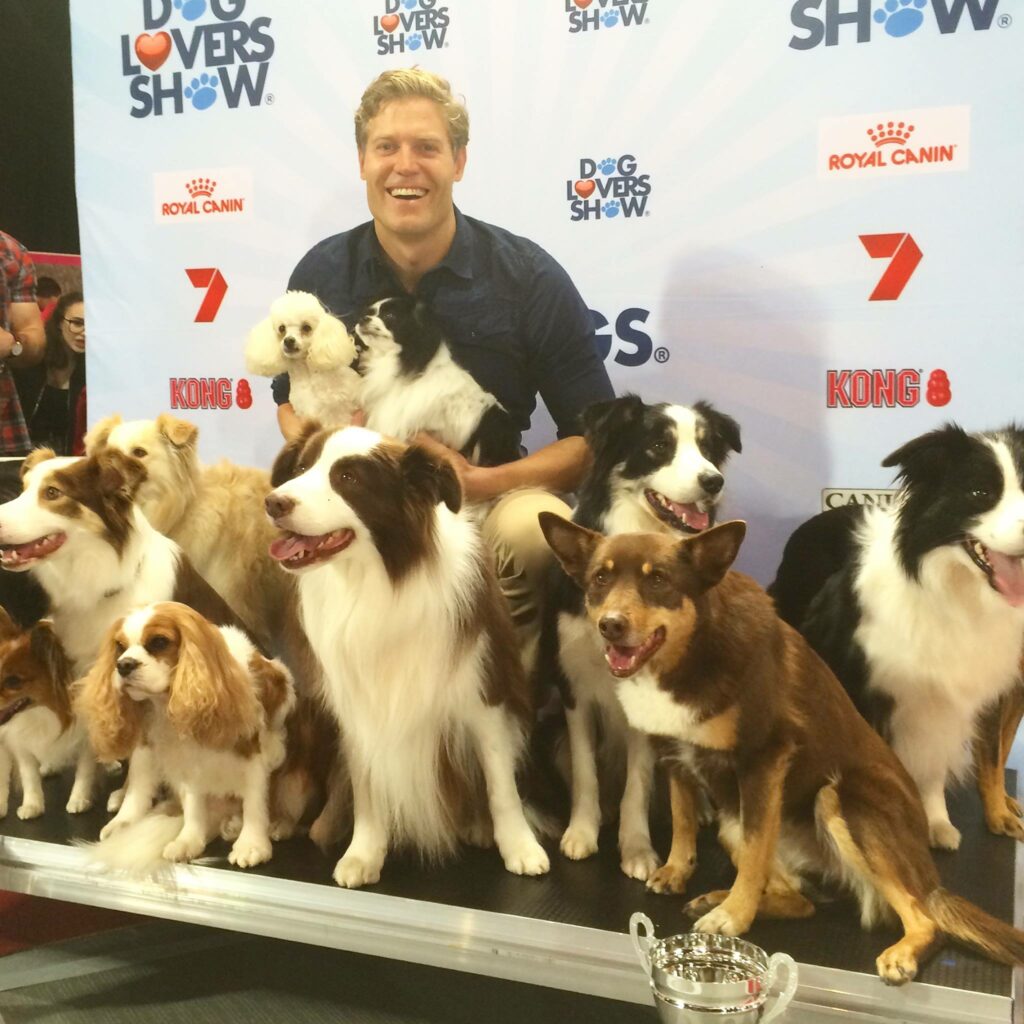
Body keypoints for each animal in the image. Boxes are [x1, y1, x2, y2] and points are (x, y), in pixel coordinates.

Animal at [532, 395, 741, 876]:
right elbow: (585, 771)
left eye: (708, 447)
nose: (713, 481)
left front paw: (637, 849)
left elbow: (639, 784)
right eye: (660, 445)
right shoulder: (573, 688)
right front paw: (582, 831)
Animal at [770, 421, 1024, 847]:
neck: (953, 592)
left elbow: (938, 763)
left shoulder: (953, 697)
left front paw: (936, 820)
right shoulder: (864, 690)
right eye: (980, 493)